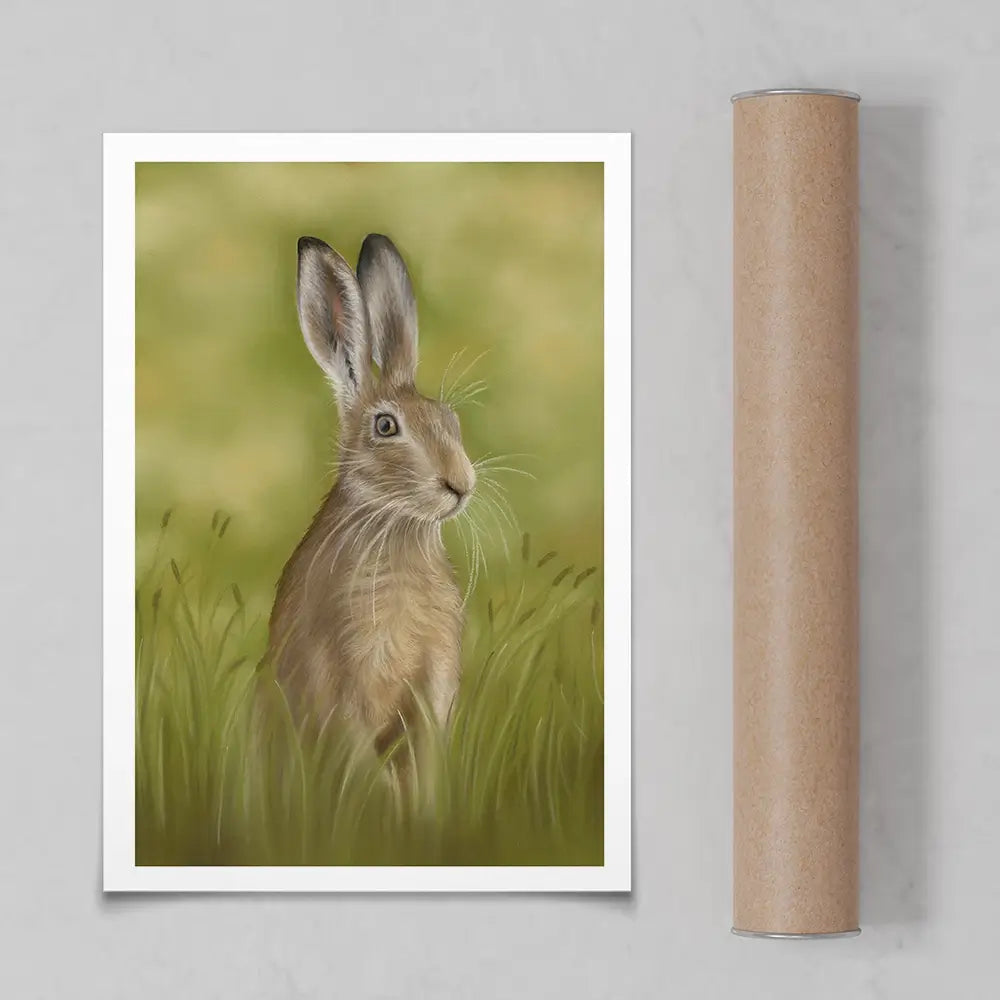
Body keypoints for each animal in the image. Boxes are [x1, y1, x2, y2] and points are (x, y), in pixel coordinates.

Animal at [267, 233, 476, 764]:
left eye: (449, 419)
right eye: (385, 427)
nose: (460, 484)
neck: (398, 527)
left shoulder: (432, 692)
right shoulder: (346, 689)